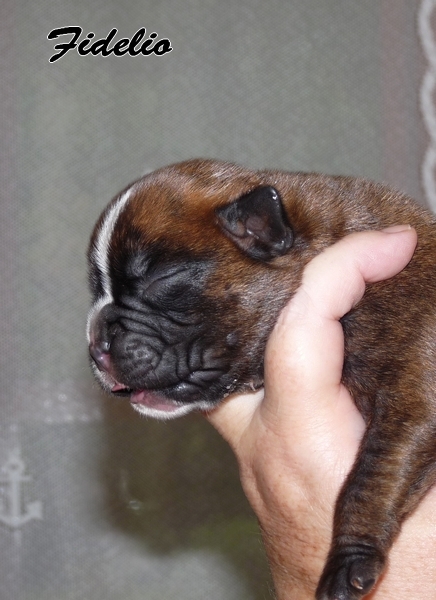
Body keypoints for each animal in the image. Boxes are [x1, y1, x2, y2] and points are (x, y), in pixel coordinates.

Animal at [87, 159, 436, 600]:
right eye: (95, 290)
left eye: (160, 279)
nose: (95, 341)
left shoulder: (415, 400)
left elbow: (373, 474)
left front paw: (348, 560)